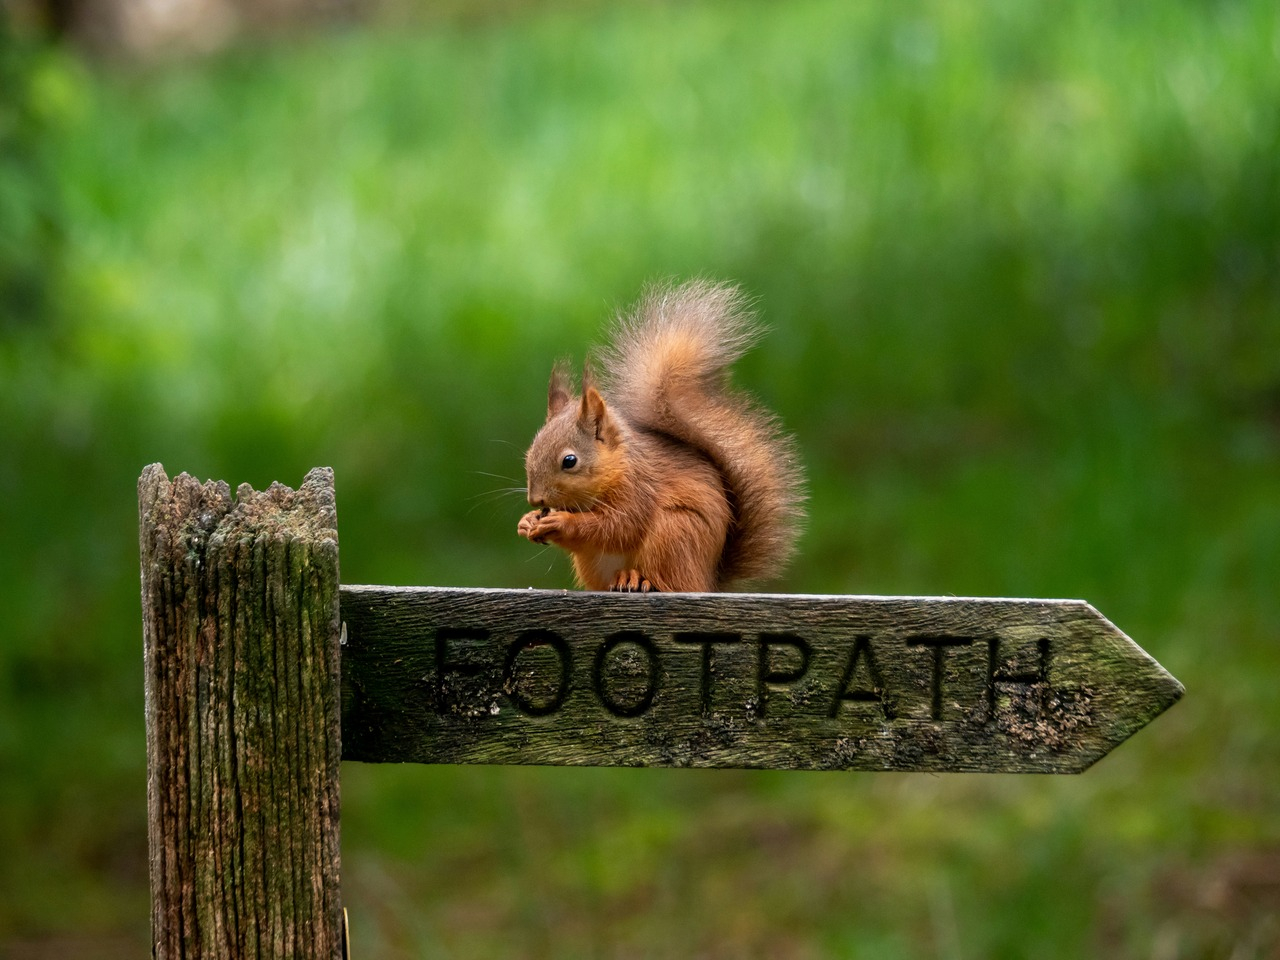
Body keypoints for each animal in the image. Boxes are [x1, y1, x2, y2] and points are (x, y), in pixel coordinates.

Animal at [517, 280, 798, 593]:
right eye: (529, 453)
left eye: (569, 461)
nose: (535, 500)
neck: (618, 468)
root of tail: (708, 579)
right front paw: (527, 522)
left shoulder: (640, 489)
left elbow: (619, 527)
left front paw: (560, 523)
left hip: (675, 533)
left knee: (669, 581)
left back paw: (637, 578)